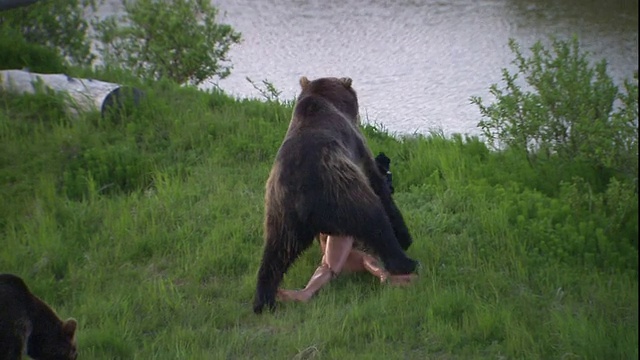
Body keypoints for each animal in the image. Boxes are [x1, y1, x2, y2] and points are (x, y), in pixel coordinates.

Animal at [252, 76, 418, 316]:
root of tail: (305, 201)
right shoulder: (357, 144)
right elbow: (378, 184)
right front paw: (405, 235)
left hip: (282, 213)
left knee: (276, 252)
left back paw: (263, 301)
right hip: (344, 191)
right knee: (375, 222)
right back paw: (406, 261)